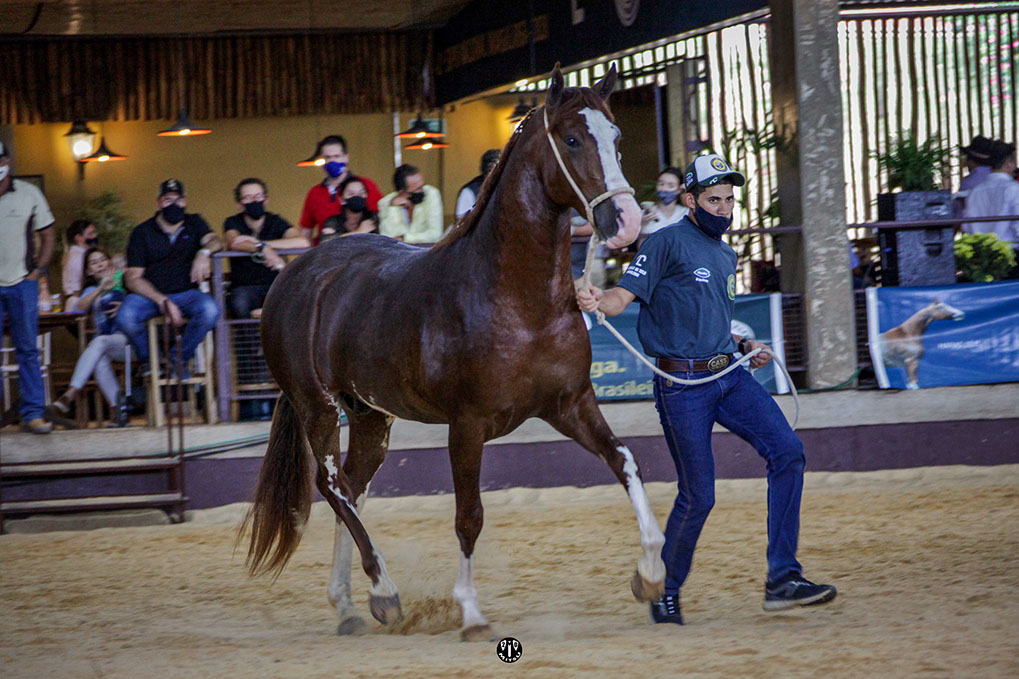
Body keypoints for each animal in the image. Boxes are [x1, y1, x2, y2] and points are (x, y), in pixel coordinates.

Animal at [243, 64, 667, 642]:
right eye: (573, 139)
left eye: (617, 138)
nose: (625, 221)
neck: (514, 299)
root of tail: (294, 274)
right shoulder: (467, 425)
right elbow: (469, 515)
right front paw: (471, 614)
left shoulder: (570, 405)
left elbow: (626, 461)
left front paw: (650, 575)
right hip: (318, 407)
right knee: (330, 484)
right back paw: (385, 594)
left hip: (370, 416)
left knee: (351, 489)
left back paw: (350, 605)